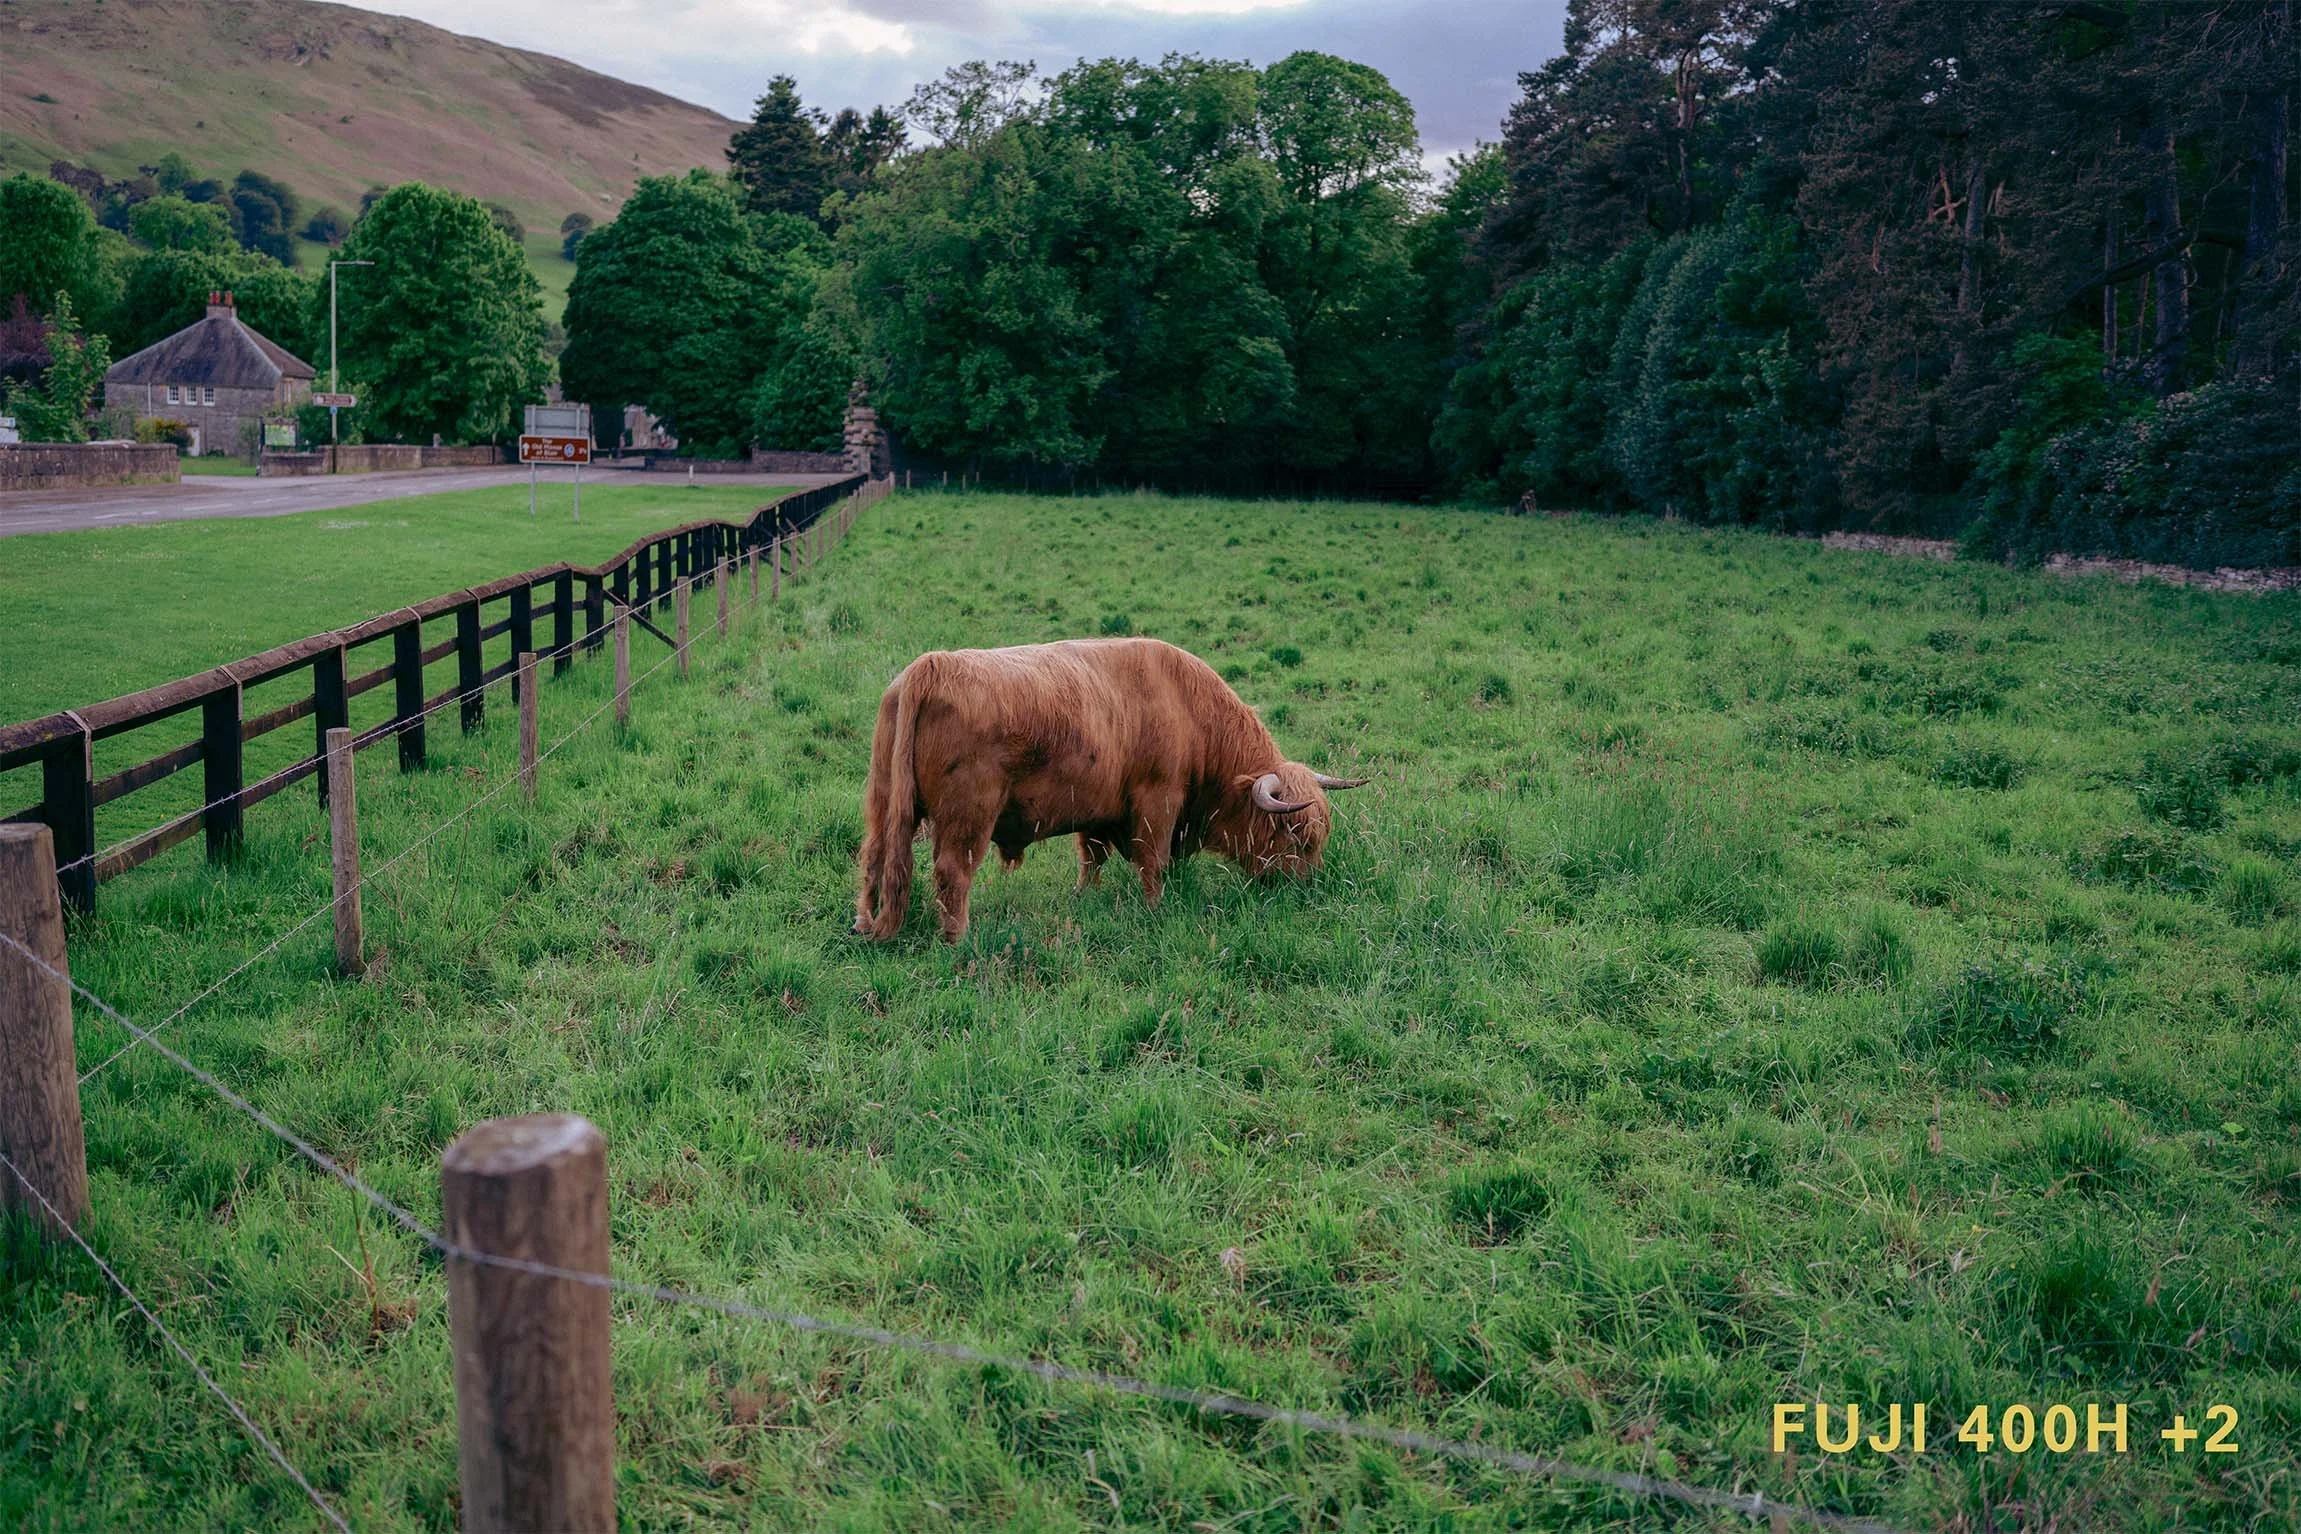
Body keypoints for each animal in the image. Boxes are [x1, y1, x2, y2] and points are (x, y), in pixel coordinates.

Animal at [853, 637, 1366, 942]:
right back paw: (957, 938)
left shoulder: (1096, 812)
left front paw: (1084, 897)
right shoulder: (1158, 800)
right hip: (969, 815)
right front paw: (1155, 908)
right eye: (1296, 836)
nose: (1306, 887)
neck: (1189, 709)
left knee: (874, 858)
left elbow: (1091, 858)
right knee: (952, 872)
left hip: (884, 802)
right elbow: (1153, 861)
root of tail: (930, 666)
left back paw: (863, 923)